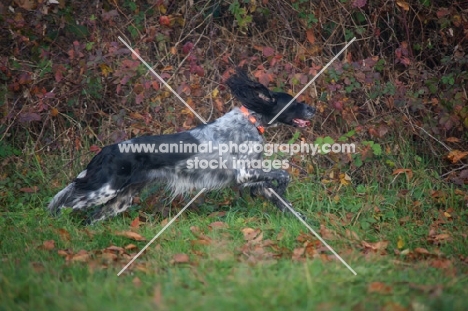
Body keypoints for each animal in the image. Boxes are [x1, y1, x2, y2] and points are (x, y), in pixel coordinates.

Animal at [47, 69, 316, 224]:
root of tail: (106, 150)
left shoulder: (253, 178)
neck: (250, 121)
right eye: (293, 102)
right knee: (62, 206)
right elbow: (284, 174)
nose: (313, 108)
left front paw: (303, 220)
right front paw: (284, 187)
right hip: (103, 190)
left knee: (91, 218)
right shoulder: (245, 173)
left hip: (120, 199)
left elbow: (282, 200)